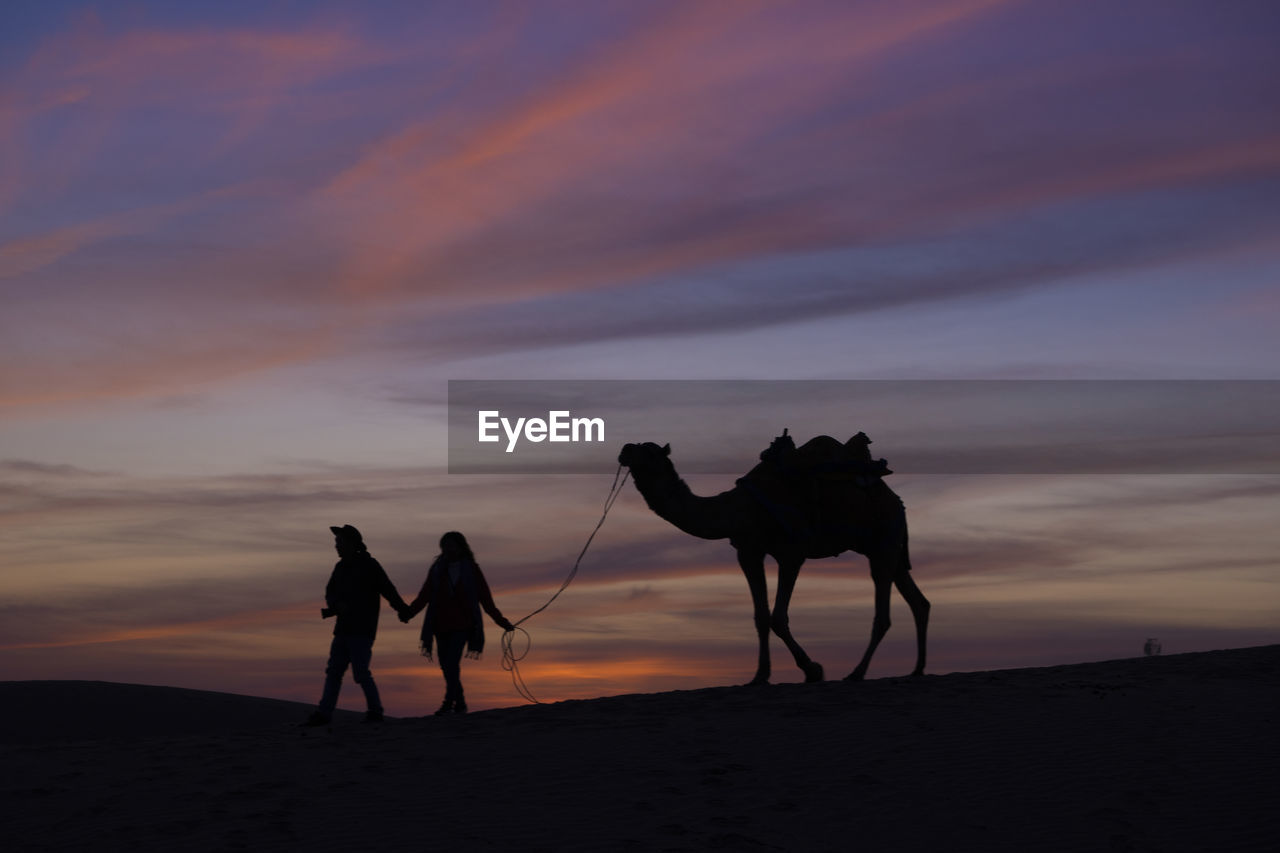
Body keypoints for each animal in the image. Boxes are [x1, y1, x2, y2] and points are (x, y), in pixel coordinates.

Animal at [619, 435, 931, 681]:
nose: (624, 449)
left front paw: (813, 670)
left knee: (884, 612)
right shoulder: (748, 552)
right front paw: (760, 676)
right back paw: (917, 669)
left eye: (649, 451)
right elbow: (761, 616)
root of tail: (897, 501)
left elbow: (778, 617)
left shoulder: (791, 553)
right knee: (919, 602)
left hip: (884, 540)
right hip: (885, 548)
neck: (737, 509)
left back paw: (856, 673)